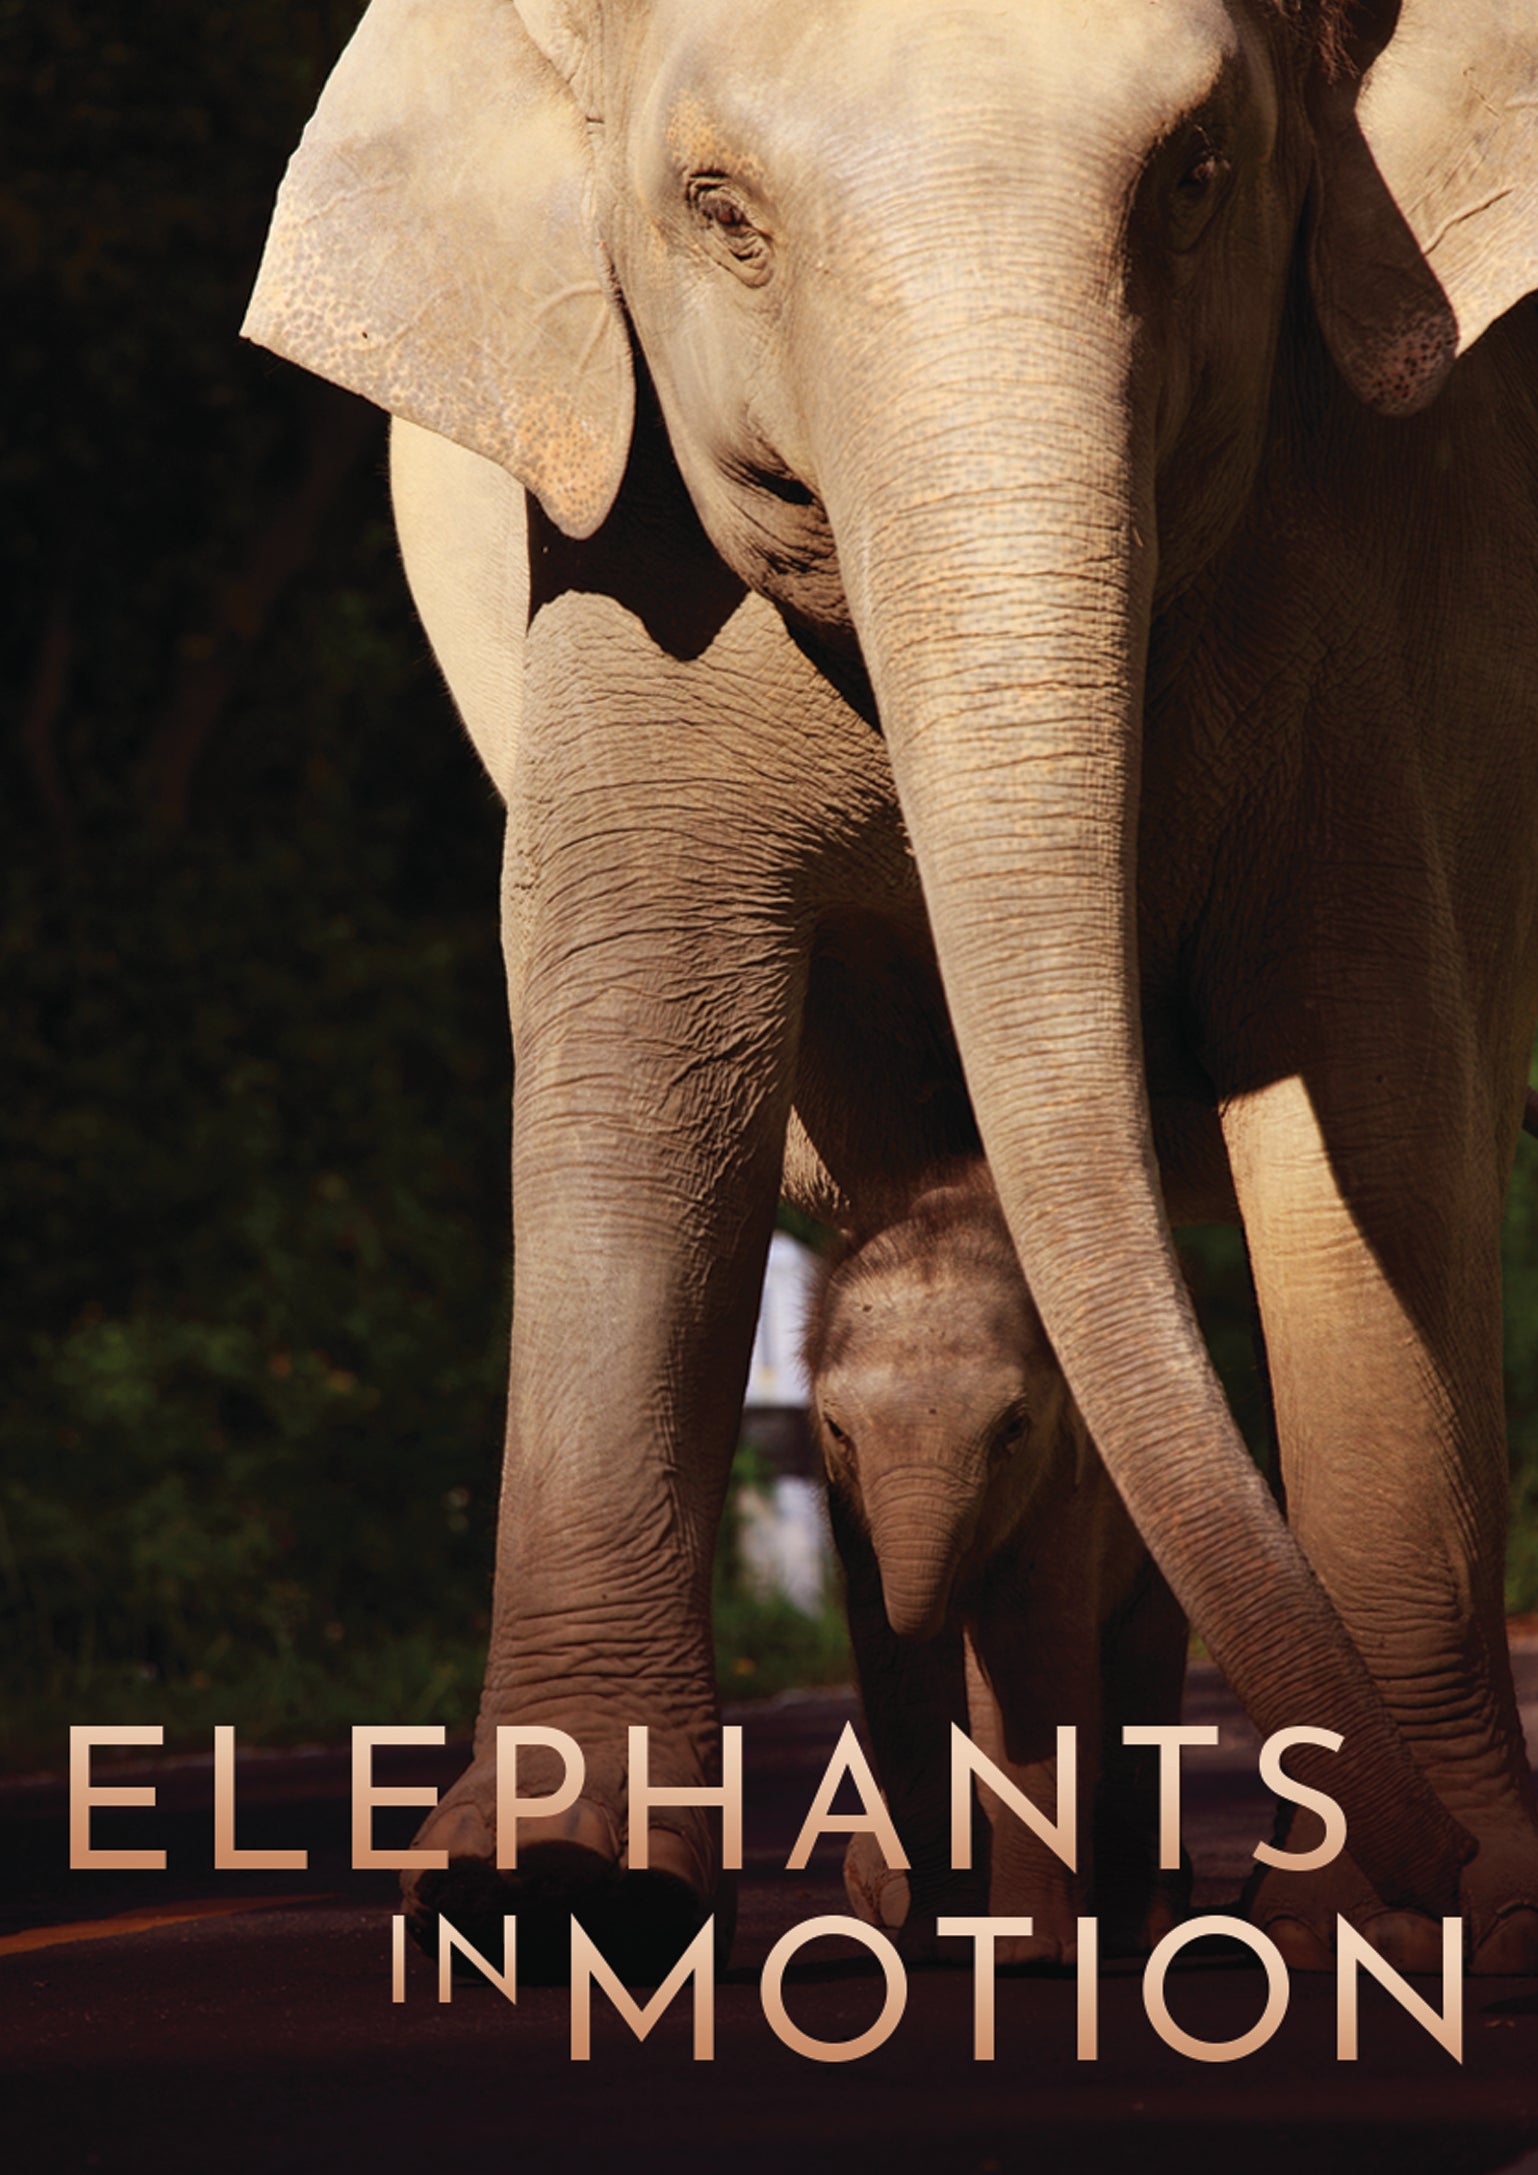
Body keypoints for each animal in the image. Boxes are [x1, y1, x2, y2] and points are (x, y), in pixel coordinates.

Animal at [807, 1158, 1188, 1964]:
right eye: (837, 1430)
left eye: (1013, 1428)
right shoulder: (850, 1514)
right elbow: (894, 1660)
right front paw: (934, 1947)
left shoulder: (1069, 1483)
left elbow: (1028, 1654)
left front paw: (1028, 1956)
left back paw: (1140, 1927)